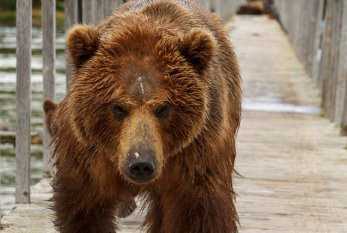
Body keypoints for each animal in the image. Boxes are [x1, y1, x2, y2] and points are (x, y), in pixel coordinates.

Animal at [44, 0, 242, 232]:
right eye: (118, 107)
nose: (141, 163)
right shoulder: (89, 156)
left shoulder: (197, 155)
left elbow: (198, 213)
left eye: (163, 108)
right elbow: (84, 209)